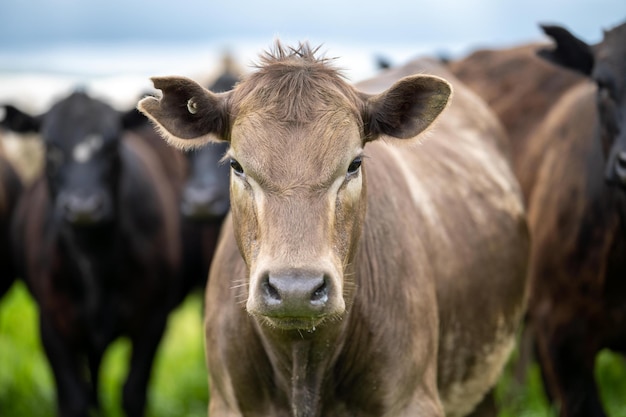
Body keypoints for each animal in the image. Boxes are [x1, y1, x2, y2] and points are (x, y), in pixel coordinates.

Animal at [2, 91, 182, 416]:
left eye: (112, 146)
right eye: (50, 148)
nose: (83, 206)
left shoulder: (154, 320)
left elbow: (133, 394)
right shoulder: (52, 324)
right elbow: (74, 400)